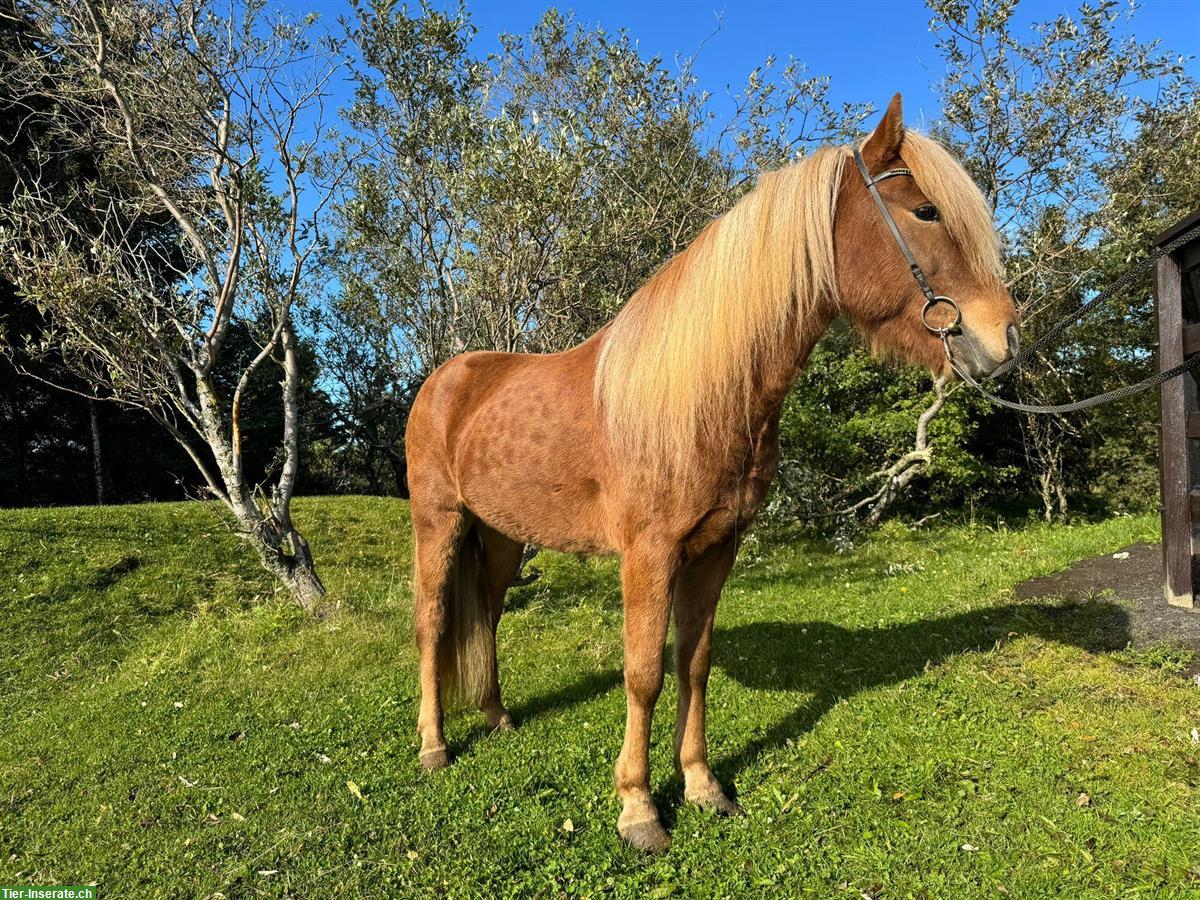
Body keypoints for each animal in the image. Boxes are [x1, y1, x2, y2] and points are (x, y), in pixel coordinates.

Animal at [408, 97, 1017, 854]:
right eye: (925, 210)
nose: (1004, 340)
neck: (700, 394)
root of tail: (445, 379)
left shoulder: (715, 550)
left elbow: (692, 664)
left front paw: (701, 785)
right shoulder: (648, 555)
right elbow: (643, 674)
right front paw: (638, 808)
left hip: (500, 536)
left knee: (486, 617)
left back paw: (496, 718)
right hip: (438, 523)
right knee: (433, 624)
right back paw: (434, 745)